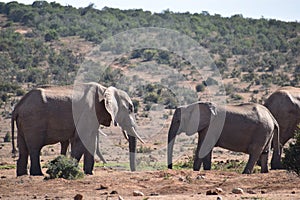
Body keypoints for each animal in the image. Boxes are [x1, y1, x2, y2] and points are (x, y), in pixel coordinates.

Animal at [11, 82, 143, 176]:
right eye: (130, 108)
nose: (133, 171)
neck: (105, 90)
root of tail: (18, 107)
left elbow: (90, 141)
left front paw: (89, 173)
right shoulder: (88, 111)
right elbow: (81, 140)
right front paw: (72, 170)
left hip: (24, 123)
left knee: (23, 148)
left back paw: (22, 174)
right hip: (33, 120)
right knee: (35, 148)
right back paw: (37, 174)